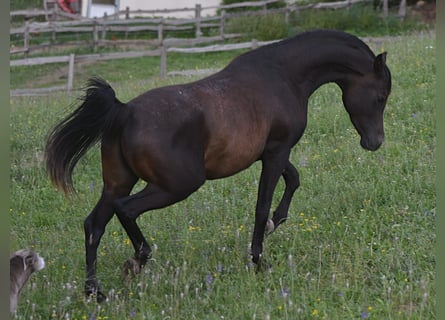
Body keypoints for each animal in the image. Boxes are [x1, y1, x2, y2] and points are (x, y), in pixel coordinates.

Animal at [45, 28, 390, 302]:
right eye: (381, 96)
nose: (375, 142)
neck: (283, 76)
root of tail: (123, 112)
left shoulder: (272, 152)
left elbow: (293, 181)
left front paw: (274, 224)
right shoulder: (277, 151)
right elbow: (262, 204)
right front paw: (259, 261)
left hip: (118, 182)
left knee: (94, 225)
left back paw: (95, 292)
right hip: (177, 185)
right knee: (125, 210)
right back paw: (136, 262)